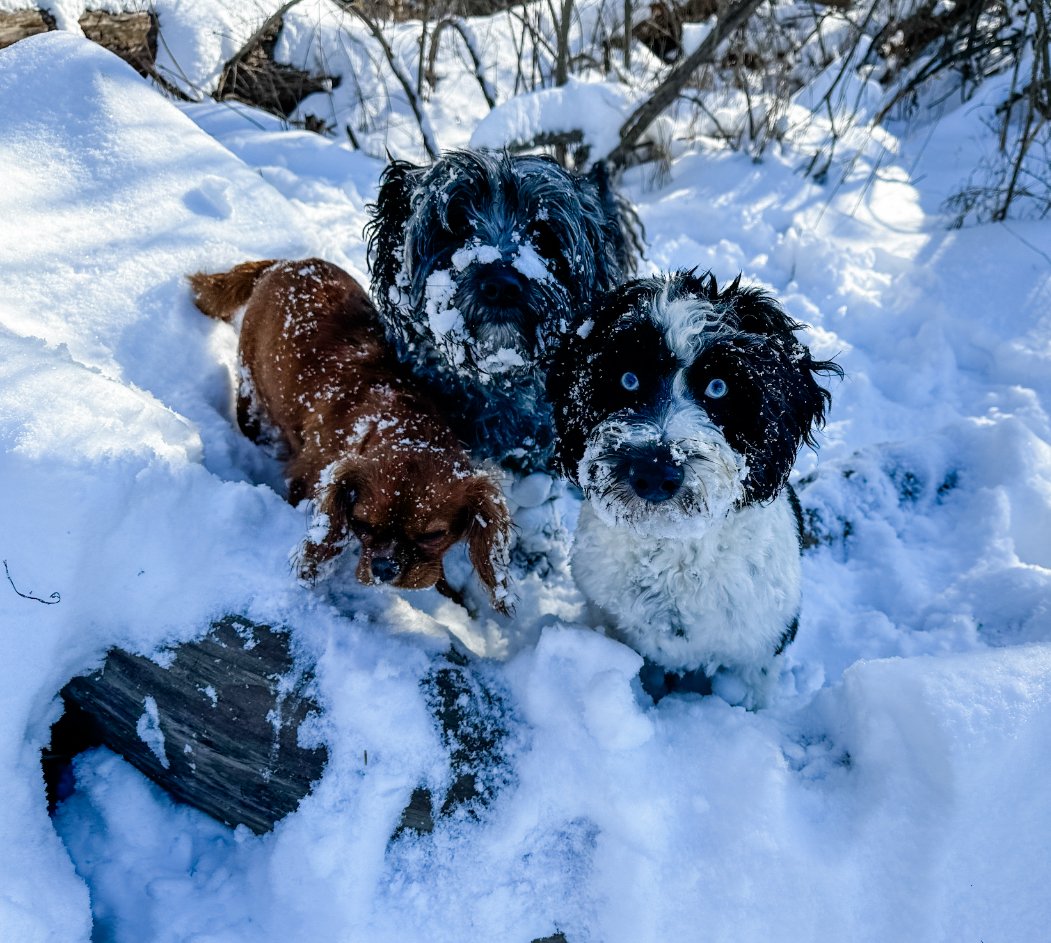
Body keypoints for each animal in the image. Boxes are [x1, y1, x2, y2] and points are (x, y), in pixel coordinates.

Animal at [194, 257, 517, 609]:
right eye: (361, 524)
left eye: (433, 535)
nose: (385, 568)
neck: (398, 423)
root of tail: (285, 263)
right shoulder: (307, 480)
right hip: (254, 396)